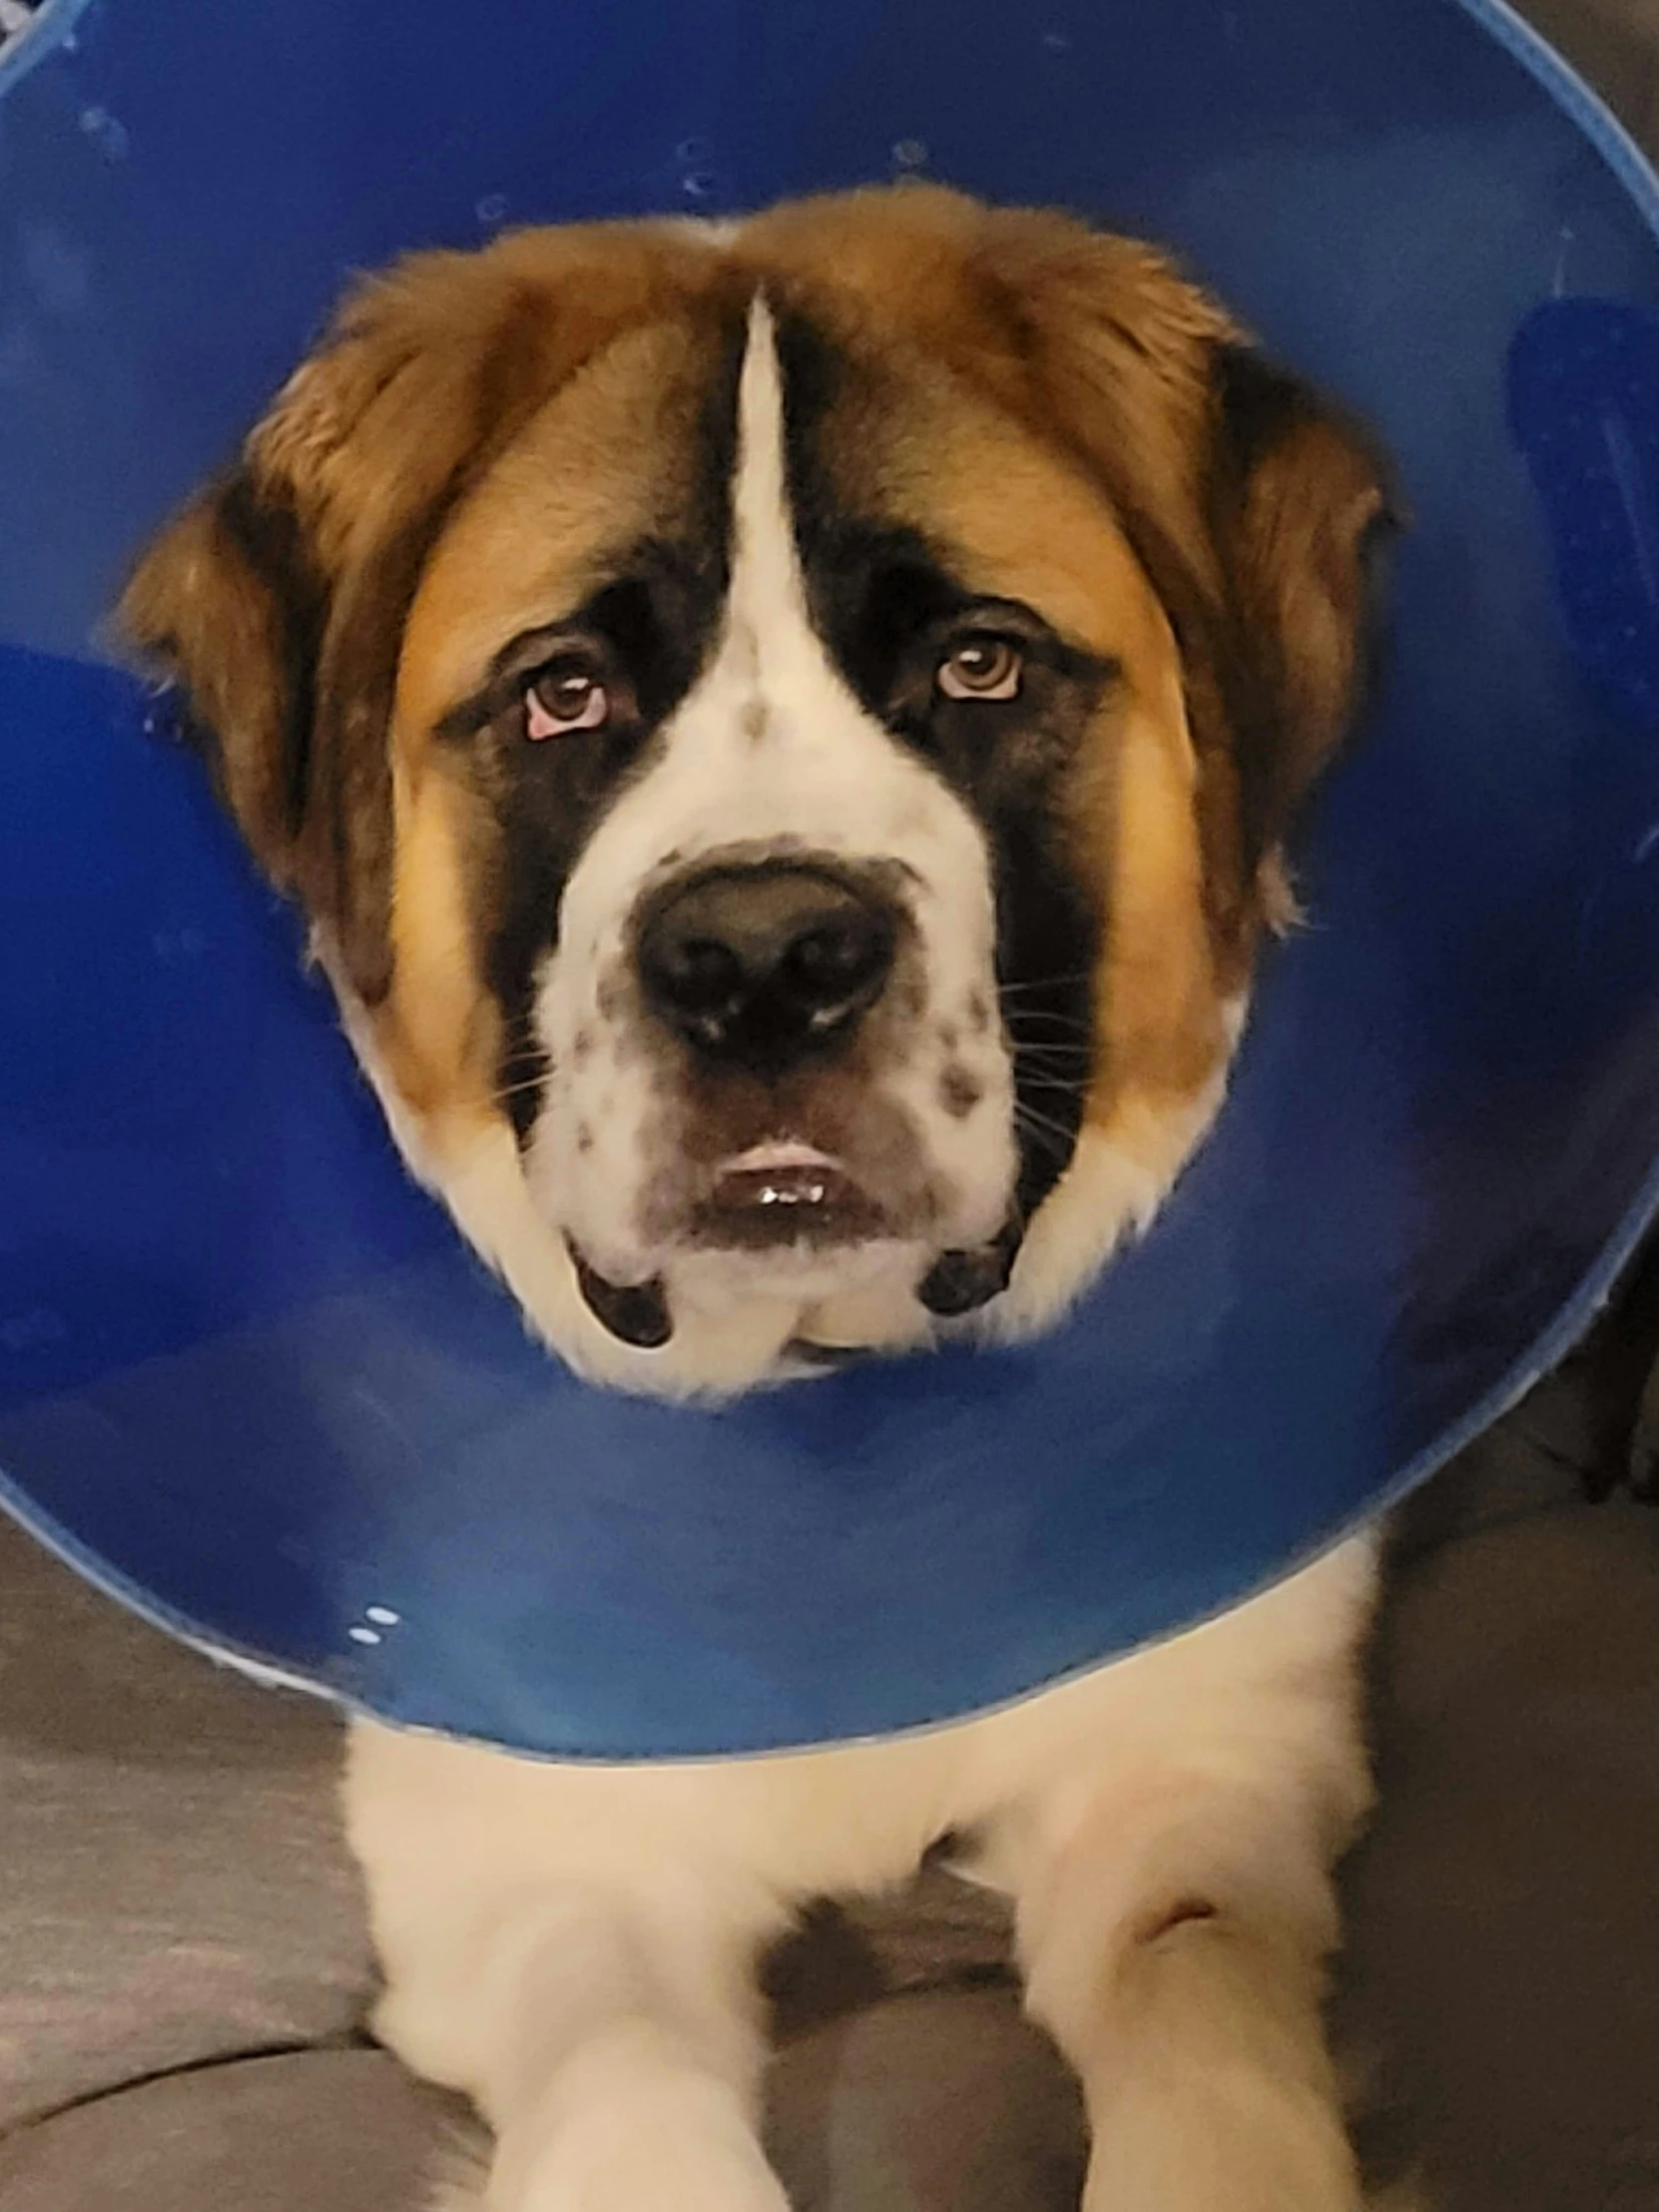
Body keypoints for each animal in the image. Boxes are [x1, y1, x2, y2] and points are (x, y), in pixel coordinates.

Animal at [123, 195, 1406, 2212]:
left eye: (977, 667)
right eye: (566, 692)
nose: (761, 962)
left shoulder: (1201, 1756)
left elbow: (1196, 2001)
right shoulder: (527, 1860)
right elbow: (633, 2087)